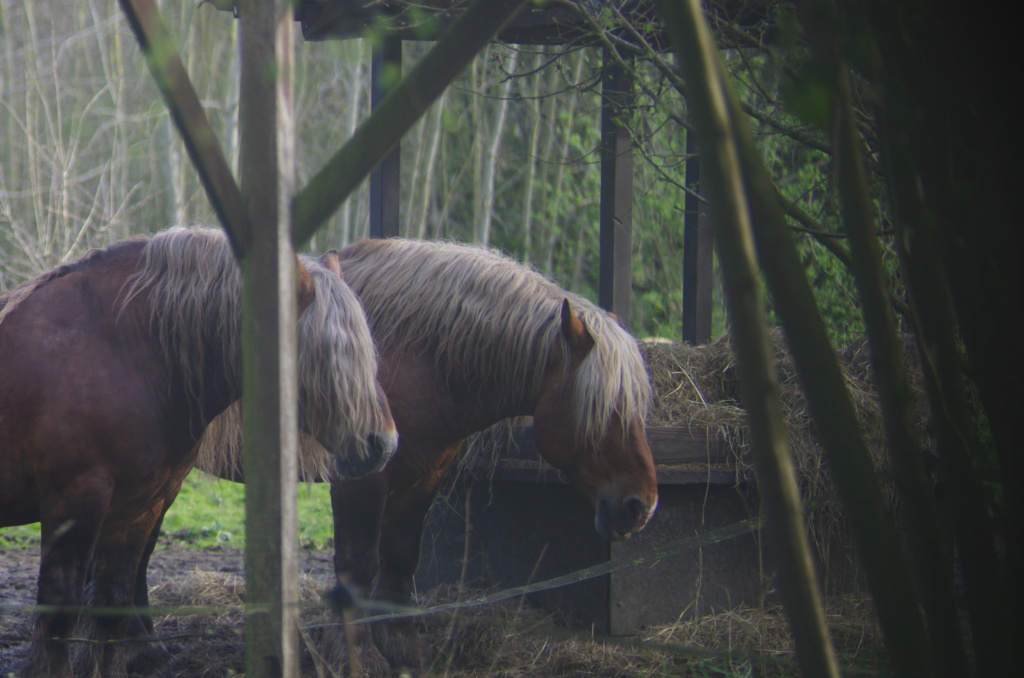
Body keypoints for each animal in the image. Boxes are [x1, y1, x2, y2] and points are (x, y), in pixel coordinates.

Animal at [0, 228, 395, 678]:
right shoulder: (75, 503)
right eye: (325, 351)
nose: (383, 443)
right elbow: (59, 613)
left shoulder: (137, 508)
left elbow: (112, 607)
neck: (115, 351)